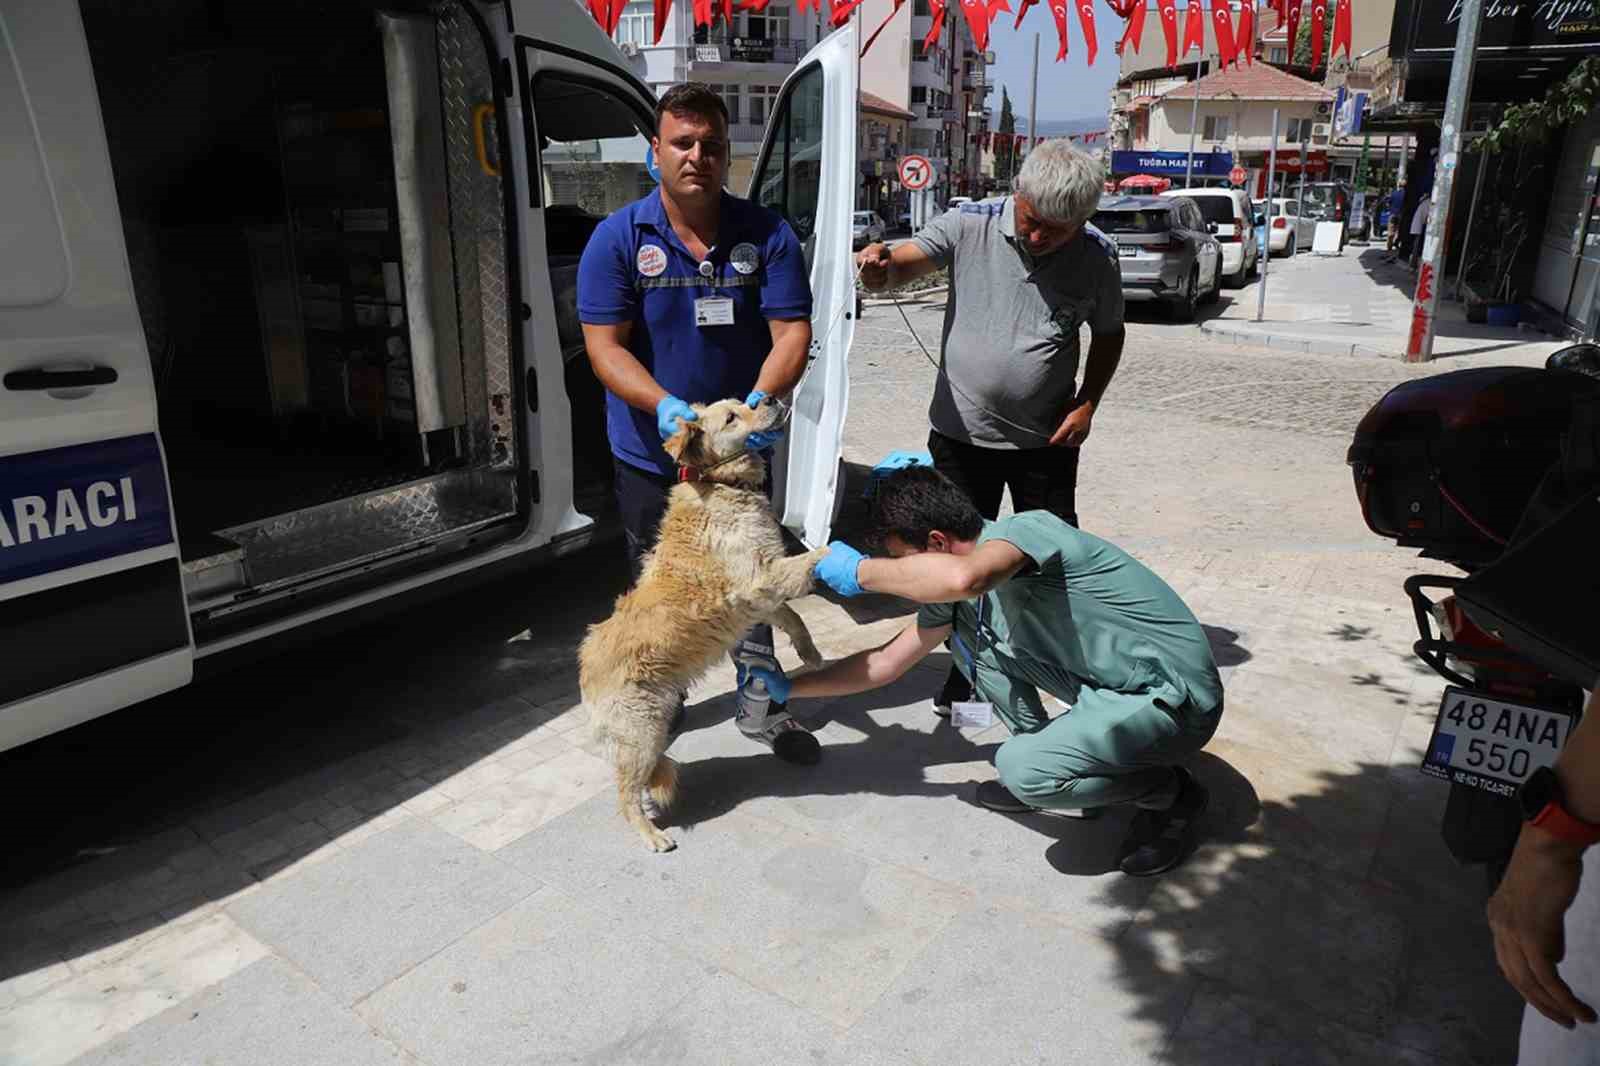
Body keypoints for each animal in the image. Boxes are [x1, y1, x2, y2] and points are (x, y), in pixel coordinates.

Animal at [576, 393, 825, 851]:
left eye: (744, 402)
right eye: (731, 418)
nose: (769, 396)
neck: (722, 485)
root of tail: (585, 666)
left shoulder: (759, 600)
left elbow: (793, 616)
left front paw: (810, 652)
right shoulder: (760, 577)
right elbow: (813, 558)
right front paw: (849, 555)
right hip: (641, 735)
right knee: (626, 795)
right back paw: (651, 835)